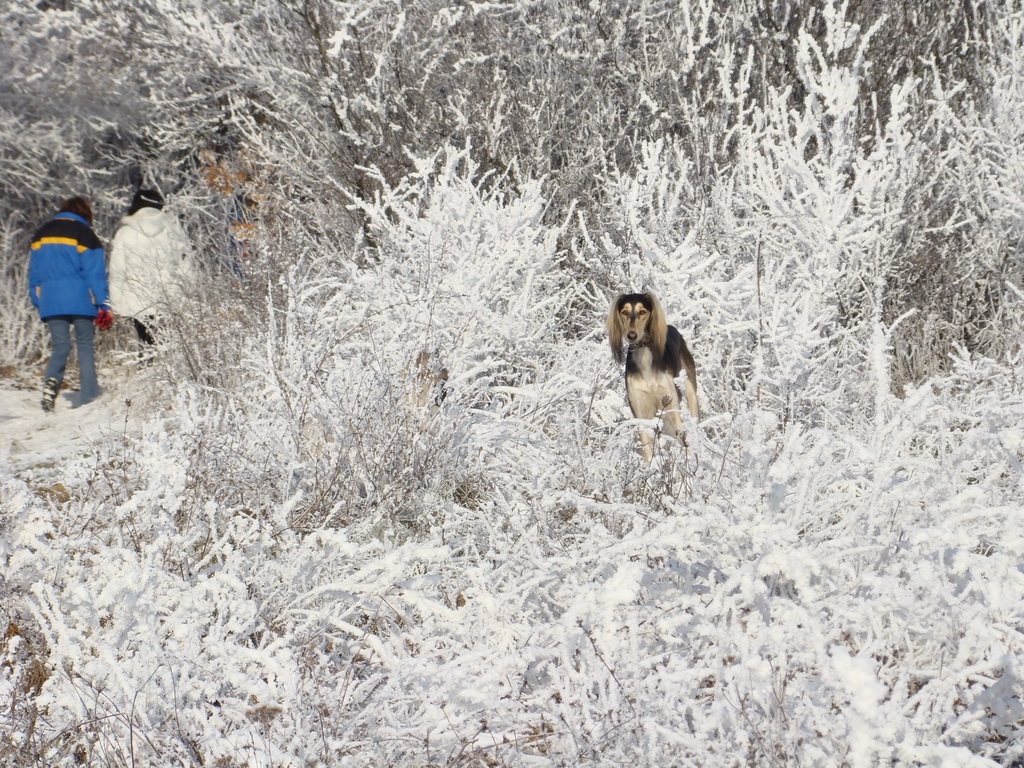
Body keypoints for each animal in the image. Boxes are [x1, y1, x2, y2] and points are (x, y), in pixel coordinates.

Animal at [602, 290, 700, 460]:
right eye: (624, 312)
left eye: (642, 312)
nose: (631, 335)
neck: (644, 354)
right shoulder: (641, 411)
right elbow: (648, 450)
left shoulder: (671, 406)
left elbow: (682, 440)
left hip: (690, 392)